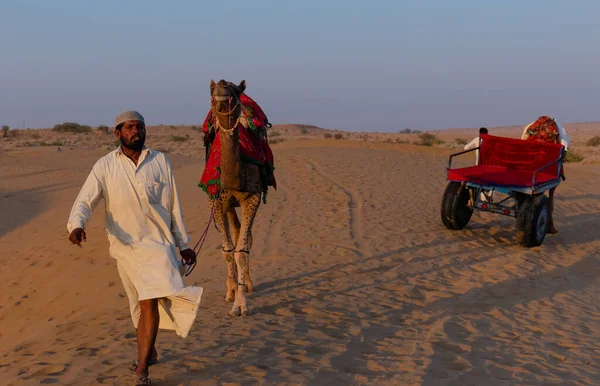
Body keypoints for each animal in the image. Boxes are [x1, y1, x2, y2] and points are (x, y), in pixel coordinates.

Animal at [204, 79, 264, 316]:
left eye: (236, 90)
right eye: (211, 89)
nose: (221, 86)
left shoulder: (253, 199)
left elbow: (242, 250)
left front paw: (240, 304)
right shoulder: (217, 202)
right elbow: (228, 250)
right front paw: (231, 292)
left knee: (244, 236)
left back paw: (246, 284)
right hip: (228, 205)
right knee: (234, 233)